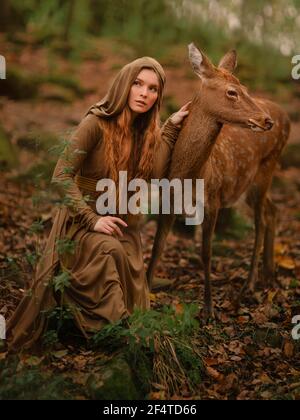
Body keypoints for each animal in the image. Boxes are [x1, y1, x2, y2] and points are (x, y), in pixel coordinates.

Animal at [146, 43, 290, 318]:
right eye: (232, 92)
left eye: (245, 88)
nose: (266, 120)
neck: (191, 175)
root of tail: (284, 114)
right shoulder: (167, 200)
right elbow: (158, 245)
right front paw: (145, 292)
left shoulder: (213, 200)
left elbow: (206, 252)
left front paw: (209, 308)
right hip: (247, 186)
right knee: (273, 210)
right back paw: (268, 275)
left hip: (266, 170)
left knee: (261, 221)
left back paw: (249, 284)